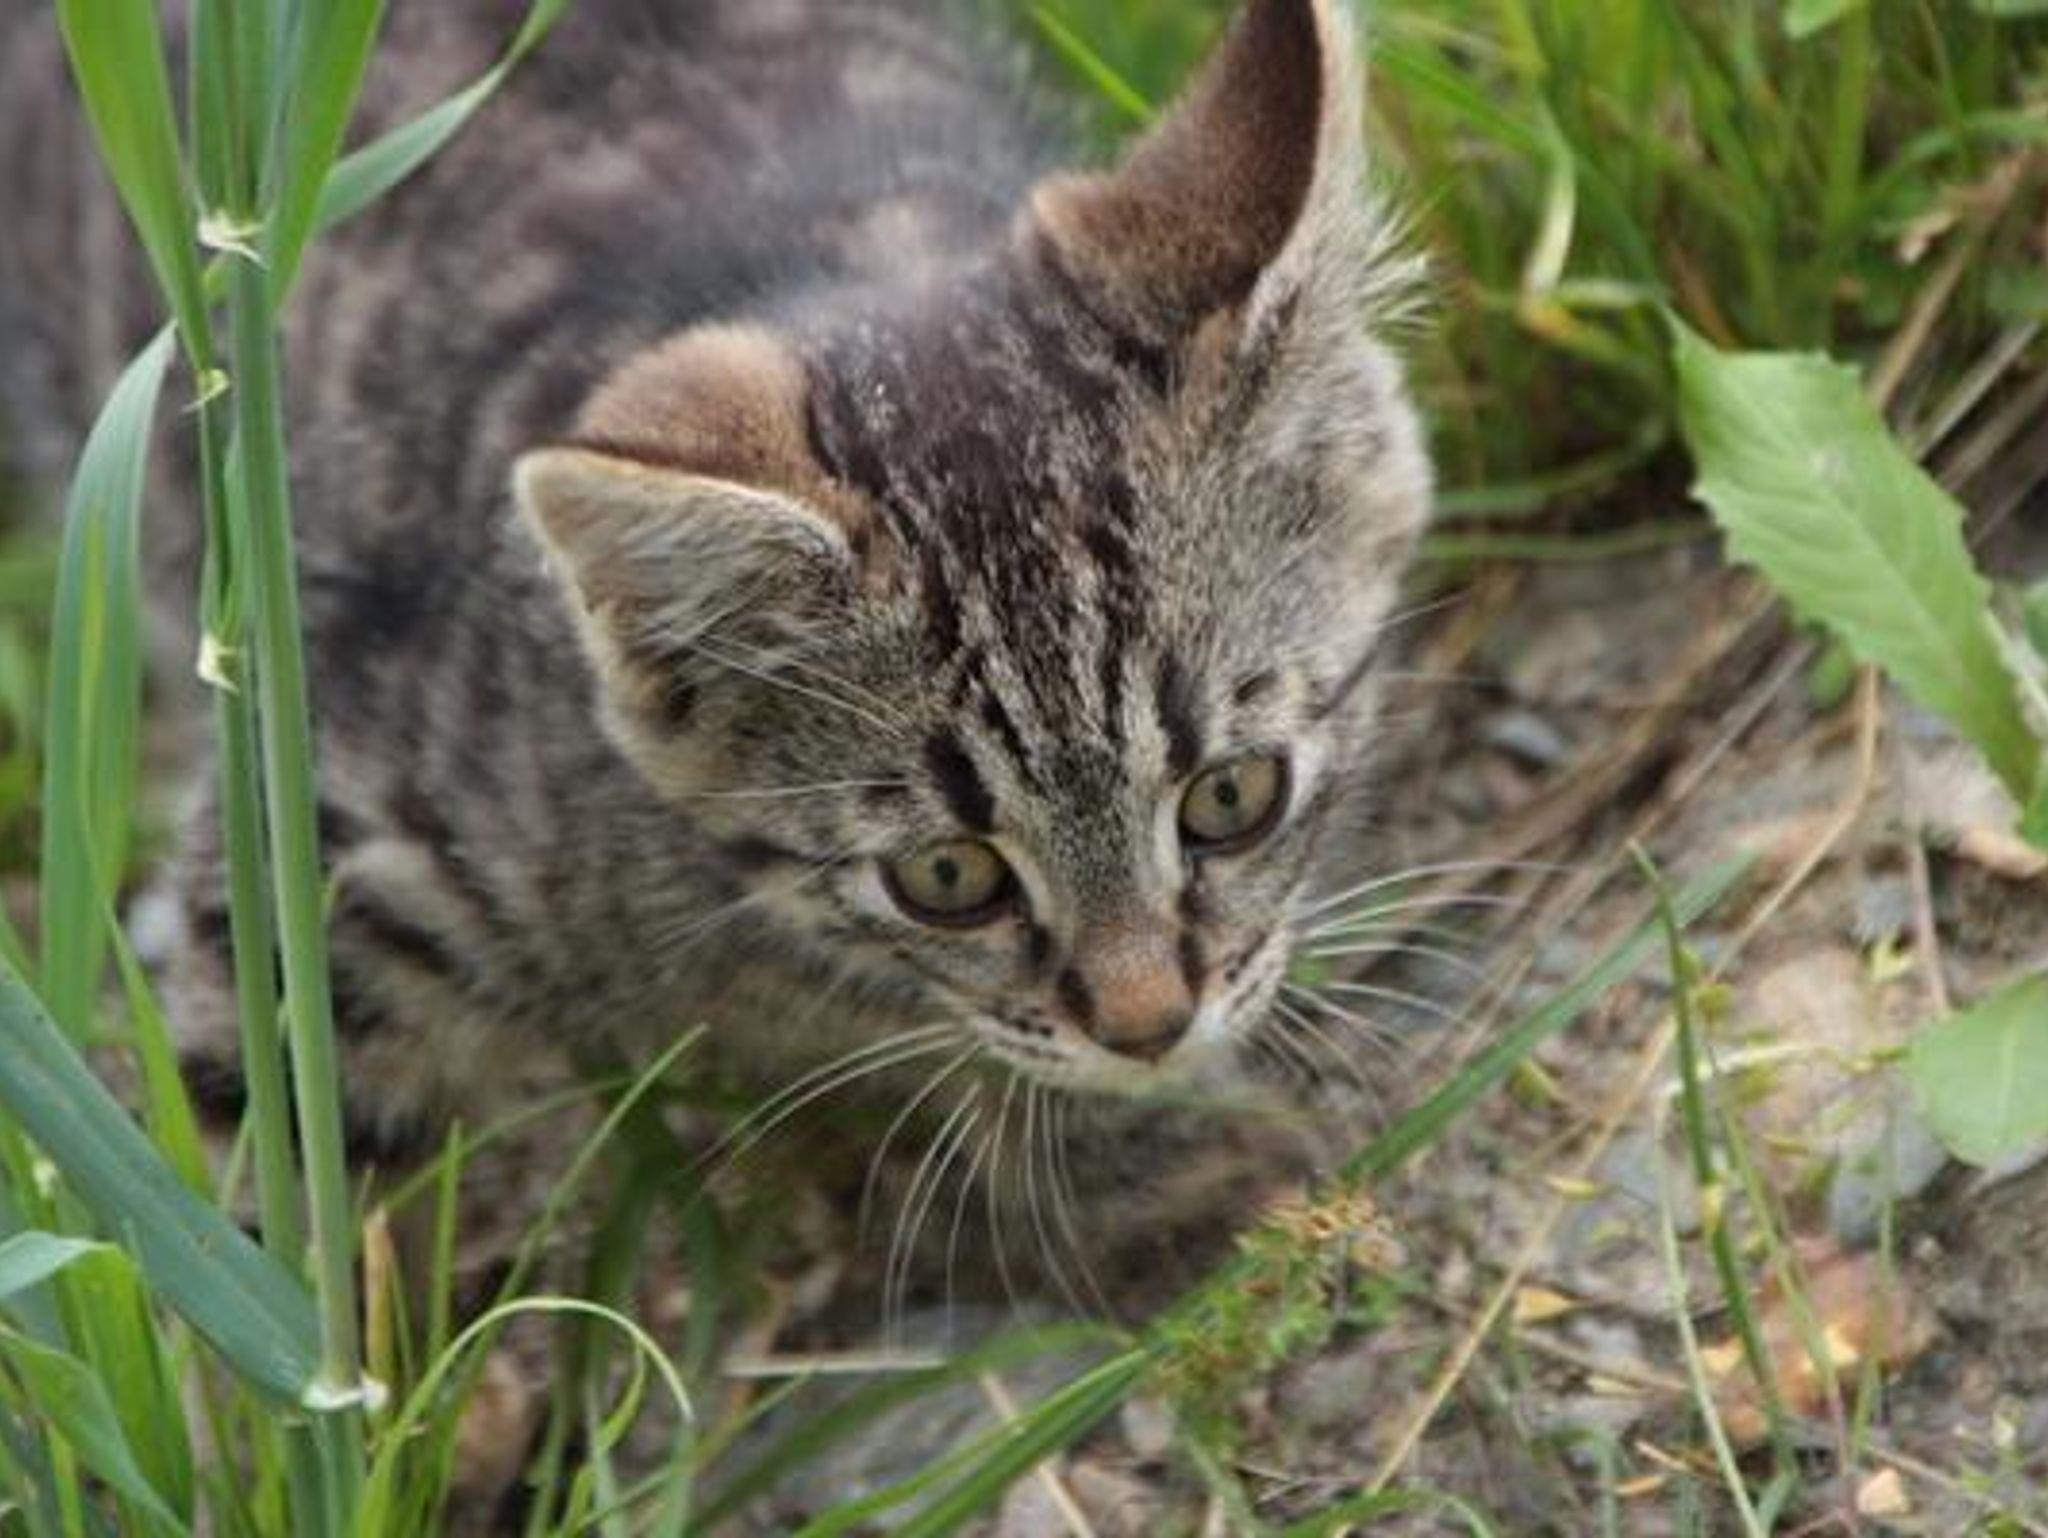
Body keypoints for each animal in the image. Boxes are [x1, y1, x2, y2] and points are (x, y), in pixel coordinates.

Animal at [0, 0, 1431, 1304]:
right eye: (947, 876)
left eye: (1231, 795)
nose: (1145, 1026)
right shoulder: (326, 817)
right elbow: (255, 1198)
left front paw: (1138, 1162)